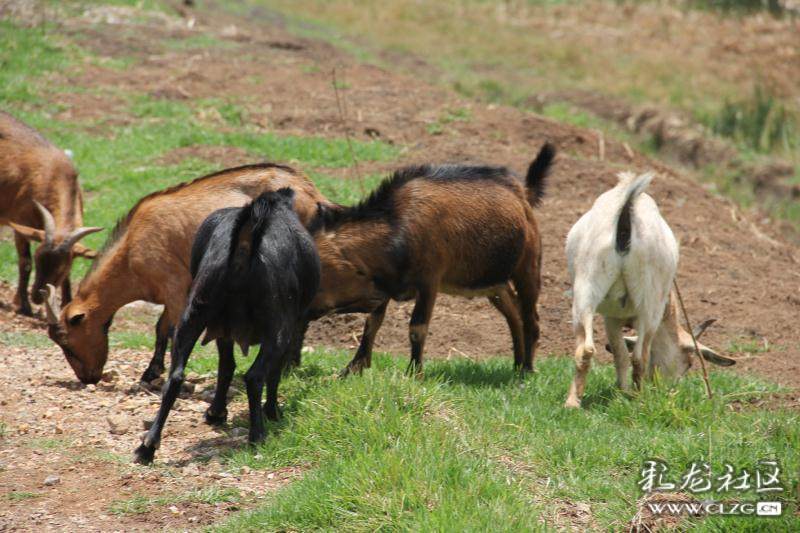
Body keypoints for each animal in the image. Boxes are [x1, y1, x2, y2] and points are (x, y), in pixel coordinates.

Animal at [0, 110, 101, 314]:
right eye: (38, 259)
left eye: (62, 267)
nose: (37, 297)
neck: (53, 174)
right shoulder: (20, 224)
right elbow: (25, 263)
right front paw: (23, 305)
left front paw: (66, 303)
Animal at [43, 162, 332, 382]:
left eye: (67, 343)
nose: (88, 378)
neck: (130, 249)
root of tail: (313, 192)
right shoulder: (170, 291)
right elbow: (160, 328)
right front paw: (151, 372)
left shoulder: (175, 285)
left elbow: (171, 331)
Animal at [134, 189, 318, 464]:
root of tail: (244, 245)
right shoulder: (291, 324)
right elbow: (273, 373)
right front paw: (272, 411)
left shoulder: (223, 329)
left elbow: (226, 366)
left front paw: (216, 412)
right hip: (278, 327)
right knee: (255, 376)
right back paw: (257, 435)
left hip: (193, 314)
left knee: (175, 377)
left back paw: (148, 446)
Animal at [310, 142, 560, 374]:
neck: (398, 225)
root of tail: (523, 192)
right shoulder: (385, 283)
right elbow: (372, 323)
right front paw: (352, 369)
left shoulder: (429, 281)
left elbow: (417, 328)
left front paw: (414, 373)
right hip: (494, 283)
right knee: (514, 315)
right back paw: (517, 365)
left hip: (528, 267)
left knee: (531, 318)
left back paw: (526, 370)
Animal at [564, 172, 732, 406]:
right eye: (689, 362)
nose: (669, 389)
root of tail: (627, 210)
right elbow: (628, 356)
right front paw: (626, 392)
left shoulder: (611, 317)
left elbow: (619, 354)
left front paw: (621, 391)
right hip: (649, 303)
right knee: (640, 357)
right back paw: (638, 398)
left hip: (586, 286)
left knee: (586, 349)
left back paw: (572, 403)